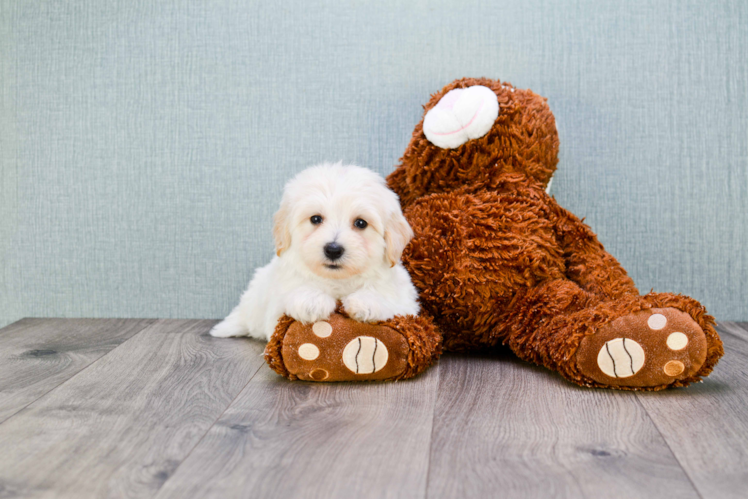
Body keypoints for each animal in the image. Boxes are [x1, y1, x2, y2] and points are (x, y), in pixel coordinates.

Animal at [210, 162, 420, 342]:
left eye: (361, 223)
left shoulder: (407, 302)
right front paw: (312, 301)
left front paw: (367, 302)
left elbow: (385, 294)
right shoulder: (278, 303)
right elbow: (297, 289)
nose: (333, 250)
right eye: (316, 219)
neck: (338, 280)